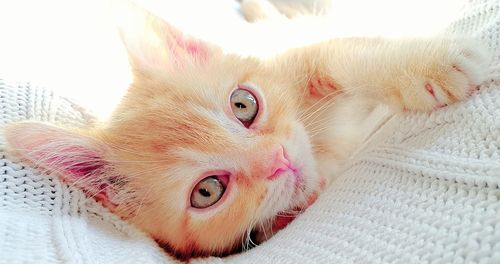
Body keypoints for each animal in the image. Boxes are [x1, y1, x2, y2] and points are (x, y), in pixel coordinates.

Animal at [2, 1, 488, 258]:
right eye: (207, 191)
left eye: (243, 105)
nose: (279, 161)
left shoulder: (296, 54)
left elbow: (341, 55)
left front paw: (429, 63)